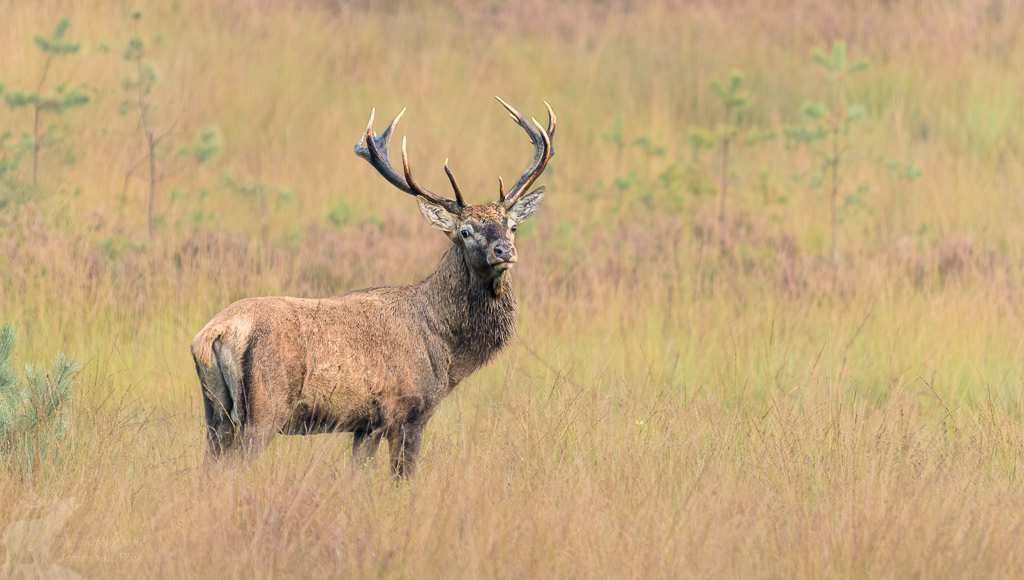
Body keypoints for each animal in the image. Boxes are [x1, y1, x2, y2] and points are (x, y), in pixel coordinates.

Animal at [191, 98, 555, 477]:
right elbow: (403, 478)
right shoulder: (408, 411)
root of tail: (212, 334)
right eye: (465, 231)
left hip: (216, 414)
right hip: (264, 408)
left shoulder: (366, 424)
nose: (504, 250)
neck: (447, 350)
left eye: (512, 226)